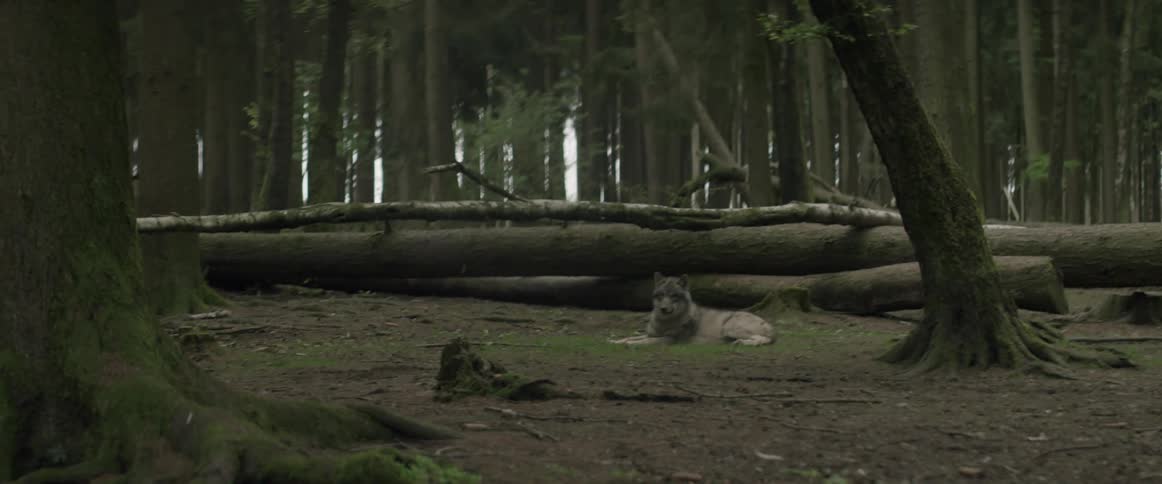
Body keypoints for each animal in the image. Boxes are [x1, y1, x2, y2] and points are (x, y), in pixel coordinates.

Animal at [609, 273, 776, 346]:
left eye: (674, 296)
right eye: (661, 295)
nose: (663, 309)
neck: (664, 322)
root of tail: (769, 325)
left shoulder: (668, 340)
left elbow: (642, 342)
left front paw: (629, 345)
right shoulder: (651, 334)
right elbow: (630, 337)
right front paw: (615, 341)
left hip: (728, 328)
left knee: (764, 339)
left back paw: (742, 343)